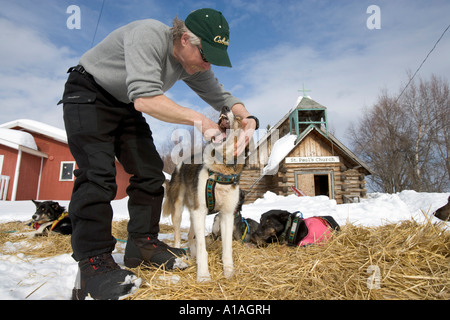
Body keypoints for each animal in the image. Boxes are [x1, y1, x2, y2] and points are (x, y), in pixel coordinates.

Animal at [163, 105, 244, 282]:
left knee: (190, 236)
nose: (225, 107)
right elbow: (202, 248)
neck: (220, 170)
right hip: (179, 210)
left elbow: (227, 248)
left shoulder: (226, 215)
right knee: (178, 236)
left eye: (238, 118)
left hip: (194, 214)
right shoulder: (199, 212)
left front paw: (229, 271)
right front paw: (203, 275)